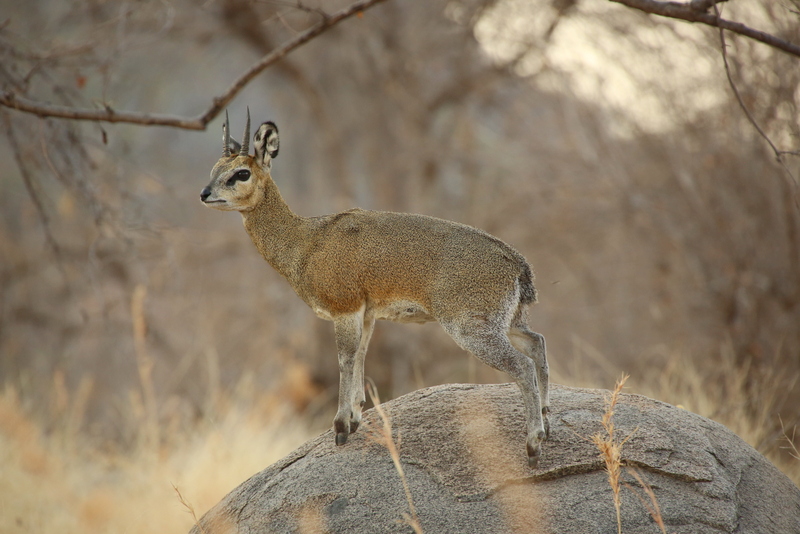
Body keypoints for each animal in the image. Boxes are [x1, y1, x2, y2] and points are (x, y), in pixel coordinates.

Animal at [200, 110, 551, 467]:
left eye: (241, 173)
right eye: (214, 168)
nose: (204, 194)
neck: (305, 242)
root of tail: (517, 263)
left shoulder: (344, 308)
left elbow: (345, 358)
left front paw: (341, 426)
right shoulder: (367, 315)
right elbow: (361, 356)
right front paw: (354, 417)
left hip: (470, 327)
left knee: (522, 365)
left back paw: (534, 444)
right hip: (508, 321)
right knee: (537, 343)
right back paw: (547, 419)